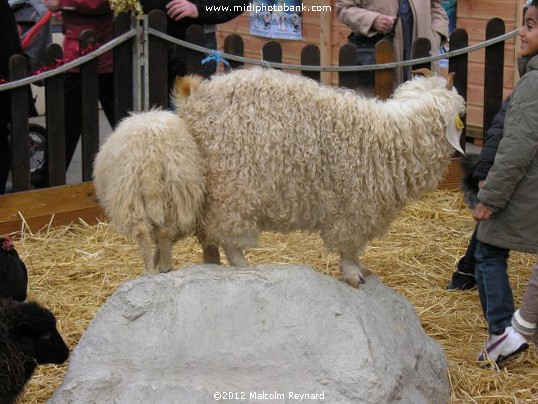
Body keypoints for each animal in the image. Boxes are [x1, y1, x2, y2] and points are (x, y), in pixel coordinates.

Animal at [92, 109, 205, 274]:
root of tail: (152, 154)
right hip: (177, 191)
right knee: (165, 233)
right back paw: (165, 268)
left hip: (129, 193)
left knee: (142, 232)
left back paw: (149, 271)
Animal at [173, 67, 464, 288]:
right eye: (460, 115)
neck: (395, 135)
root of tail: (194, 98)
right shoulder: (354, 207)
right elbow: (348, 247)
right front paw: (353, 275)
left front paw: (361, 269)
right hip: (233, 189)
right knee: (229, 237)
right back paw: (244, 267)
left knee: (209, 236)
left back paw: (212, 265)